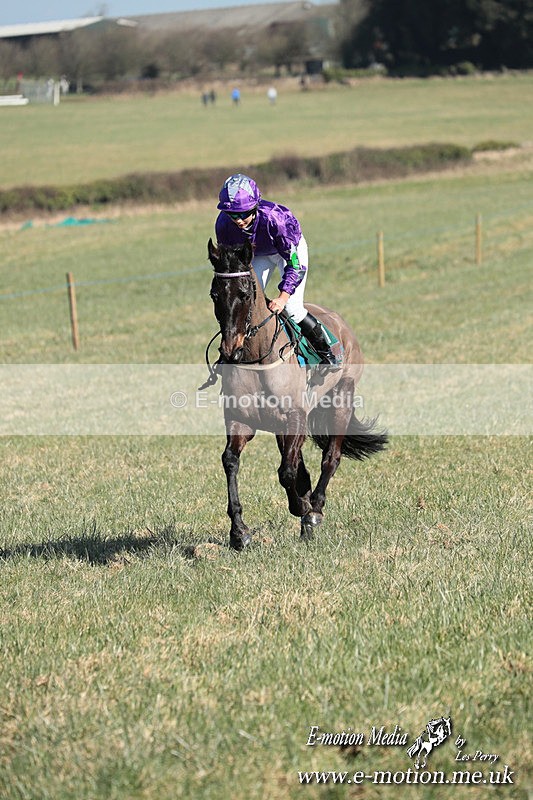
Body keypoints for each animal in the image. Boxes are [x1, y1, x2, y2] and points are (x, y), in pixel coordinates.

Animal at [205, 238, 387, 551]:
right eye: (214, 294)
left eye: (244, 294)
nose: (230, 350)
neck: (257, 358)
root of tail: (340, 322)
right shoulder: (241, 420)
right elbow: (230, 461)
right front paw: (239, 532)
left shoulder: (295, 419)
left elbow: (287, 472)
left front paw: (303, 508)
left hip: (341, 398)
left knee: (331, 458)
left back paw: (314, 510)